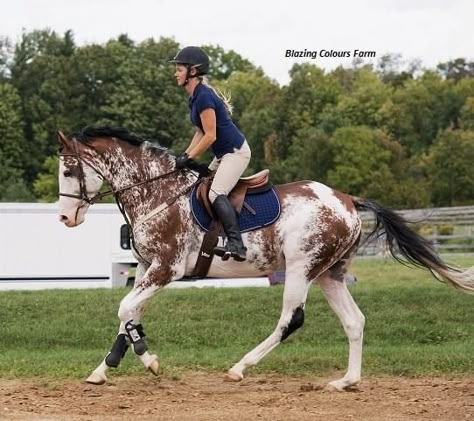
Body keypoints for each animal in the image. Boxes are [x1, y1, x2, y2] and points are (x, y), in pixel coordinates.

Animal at [58, 125, 474, 390]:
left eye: (68, 169)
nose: (65, 218)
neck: (155, 191)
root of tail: (347, 200)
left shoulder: (165, 269)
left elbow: (125, 310)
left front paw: (149, 359)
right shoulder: (147, 268)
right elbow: (129, 314)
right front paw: (103, 369)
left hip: (301, 267)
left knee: (291, 319)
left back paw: (240, 368)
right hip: (330, 273)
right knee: (354, 321)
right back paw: (347, 381)